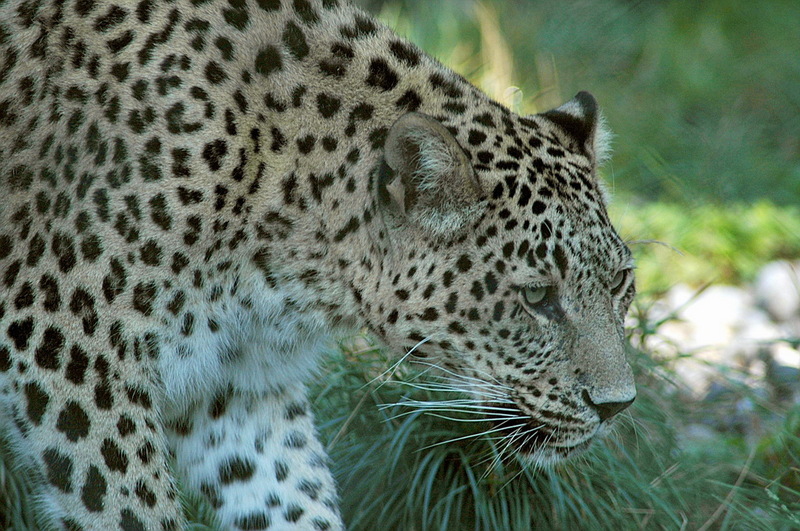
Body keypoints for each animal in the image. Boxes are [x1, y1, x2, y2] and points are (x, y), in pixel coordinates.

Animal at [0, 2, 636, 528]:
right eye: (535, 297)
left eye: (620, 283)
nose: (617, 406)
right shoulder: (70, 354)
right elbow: (129, 506)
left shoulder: (237, 384)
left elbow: (288, 492)